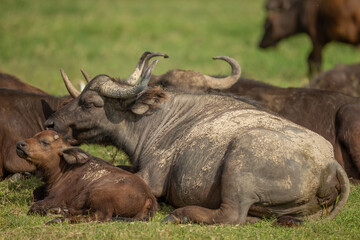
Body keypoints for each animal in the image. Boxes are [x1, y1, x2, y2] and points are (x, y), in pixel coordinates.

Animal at [16, 129, 158, 223]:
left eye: (45, 142)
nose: (20, 144)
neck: (65, 169)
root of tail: (149, 196)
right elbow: (35, 192)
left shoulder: (55, 198)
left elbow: (35, 206)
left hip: (98, 195)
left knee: (99, 217)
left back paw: (59, 218)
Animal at [45, 51, 348, 226]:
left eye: (89, 102)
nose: (51, 123)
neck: (156, 121)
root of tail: (329, 164)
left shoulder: (150, 178)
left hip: (238, 165)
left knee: (231, 216)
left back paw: (180, 214)